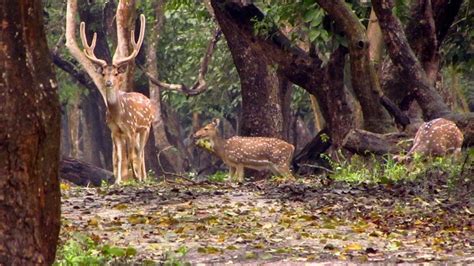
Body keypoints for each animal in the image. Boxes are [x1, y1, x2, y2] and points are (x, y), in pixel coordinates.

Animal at [78, 14, 155, 184]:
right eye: (103, 73)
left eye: (116, 73)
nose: (108, 82)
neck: (119, 114)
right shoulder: (114, 131)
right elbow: (119, 157)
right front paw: (118, 181)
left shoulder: (130, 128)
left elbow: (131, 156)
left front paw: (135, 178)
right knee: (140, 151)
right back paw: (143, 176)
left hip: (146, 127)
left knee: (140, 152)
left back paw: (143, 177)